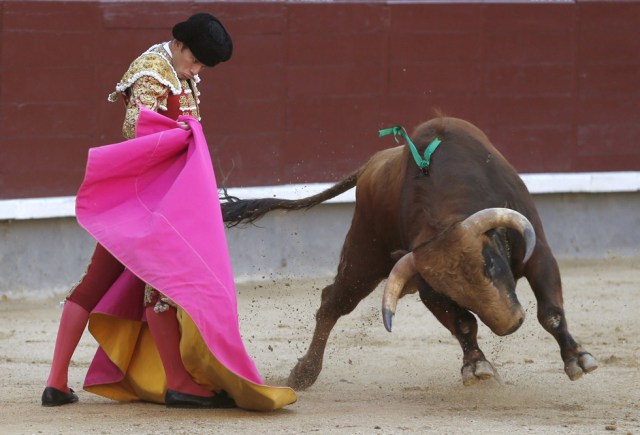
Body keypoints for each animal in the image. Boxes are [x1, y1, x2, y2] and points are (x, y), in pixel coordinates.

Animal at [222, 116, 596, 392]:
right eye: (454, 291)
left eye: (490, 265)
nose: (510, 324)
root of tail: (371, 164)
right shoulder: (429, 289)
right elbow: (464, 323)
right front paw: (476, 366)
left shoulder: (538, 252)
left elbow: (550, 313)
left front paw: (578, 359)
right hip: (364, 255)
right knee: (333, 303)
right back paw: (304, 374)